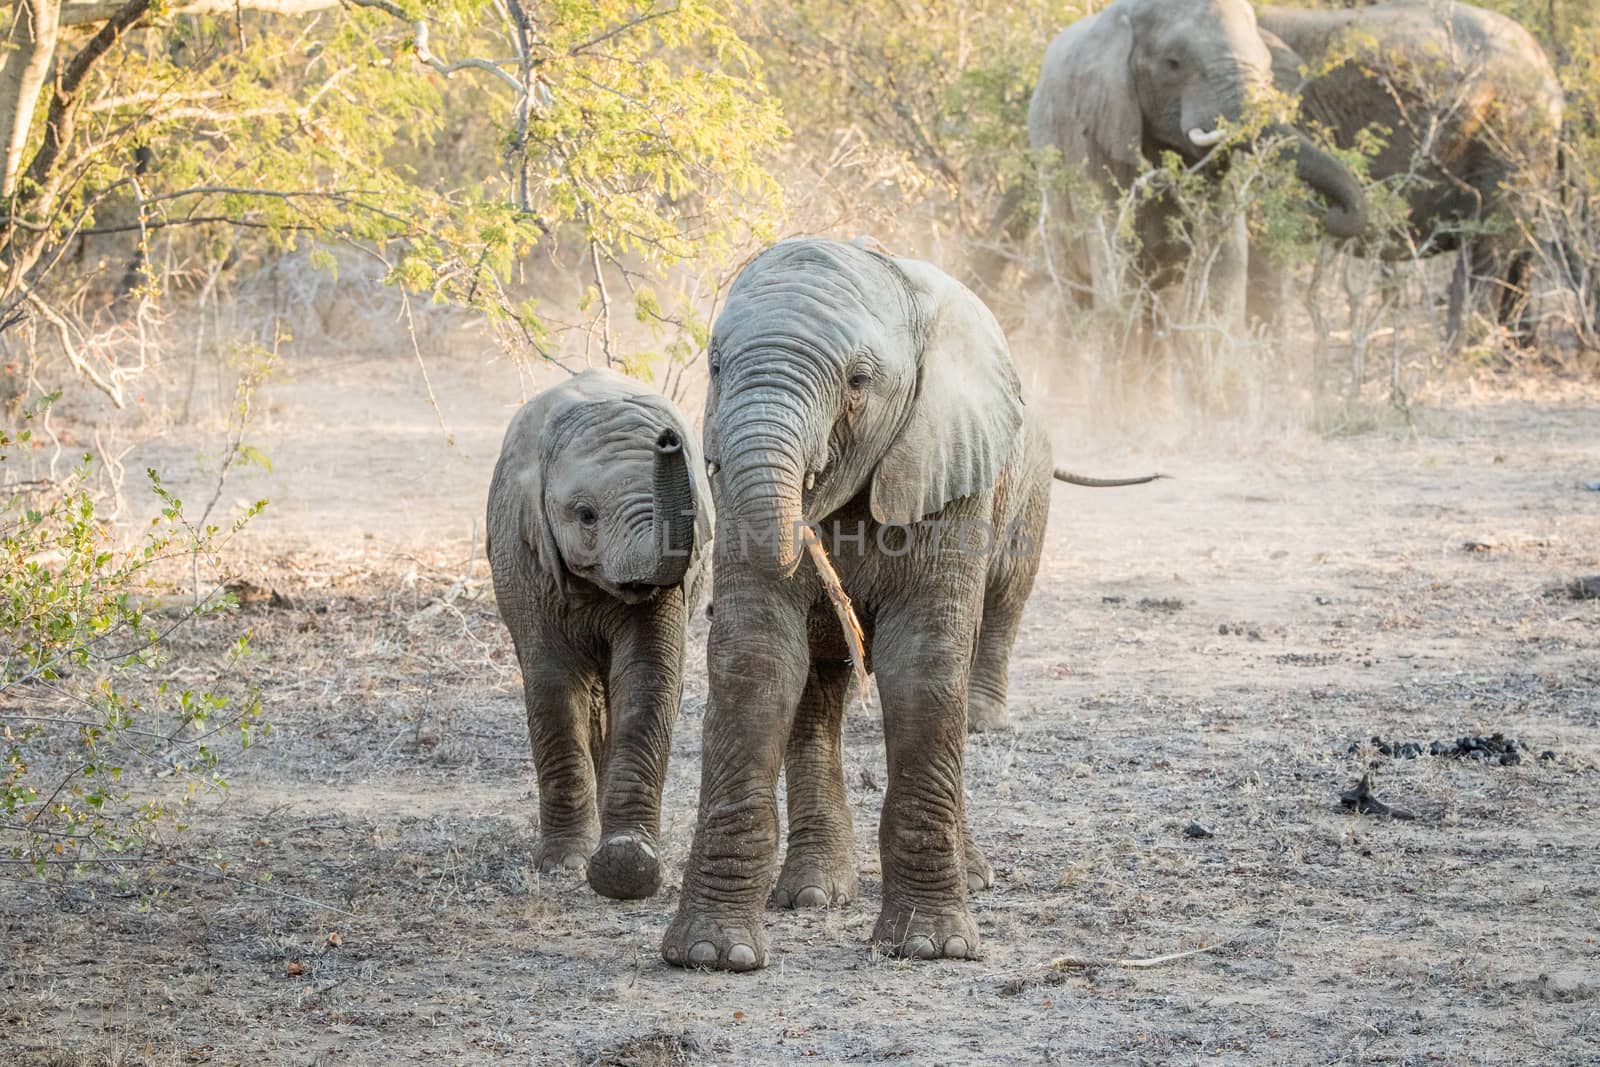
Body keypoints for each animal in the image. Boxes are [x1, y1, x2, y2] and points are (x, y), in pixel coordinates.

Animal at [486, 367, 713, 902]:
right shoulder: (527, 560)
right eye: (586, 515)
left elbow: (649, 678)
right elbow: (552, 685)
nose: (669, 440)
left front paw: (625, 864)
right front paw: (564, 863)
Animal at [662, 241, 1164, 979]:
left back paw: (970, 871)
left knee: (987, 620)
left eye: (859, 381)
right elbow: (757, 658)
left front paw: (930, 947)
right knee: (817, 690)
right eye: (717, 366)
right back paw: (814, 893)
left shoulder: (950, 471)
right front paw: (712, 955)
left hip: (1022, 490)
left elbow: (923, 668)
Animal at [1030, 0, 1369, 334]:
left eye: (1266, 65)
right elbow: (1116, 255)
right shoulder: (1092, 132)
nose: (1332, 213)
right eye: (1173, 64)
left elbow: (1226, 260)